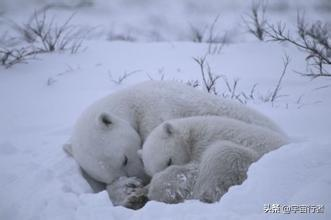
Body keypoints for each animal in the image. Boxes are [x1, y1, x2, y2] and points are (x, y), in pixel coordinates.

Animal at [141, 116, 290, 204]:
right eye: (152, 171)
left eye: (169, 161)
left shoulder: (204, 142)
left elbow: (193, 171)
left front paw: (156, 189)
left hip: (247, 161)